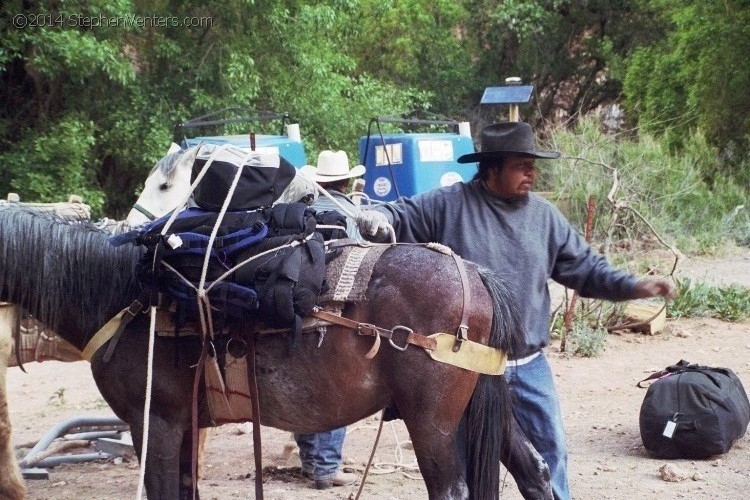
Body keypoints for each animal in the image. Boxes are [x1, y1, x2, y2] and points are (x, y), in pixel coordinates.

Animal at [0, 205, 552, 498]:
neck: (129, 297)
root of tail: (474, 275)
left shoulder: (152, 420)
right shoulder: (184, 424)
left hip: (432, 420)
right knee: (534, 470)